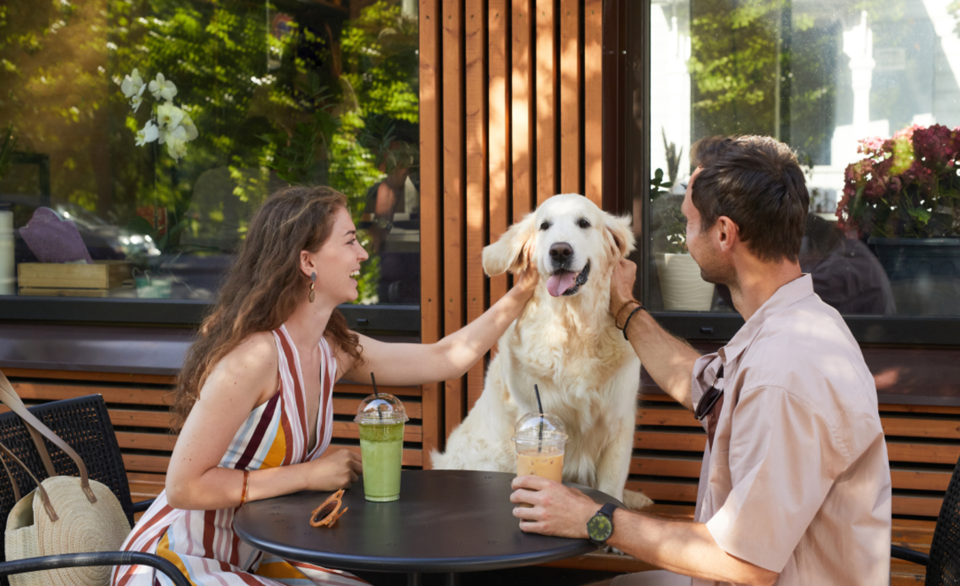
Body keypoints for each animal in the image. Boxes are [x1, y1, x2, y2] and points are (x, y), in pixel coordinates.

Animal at [434, 194, 652, 508]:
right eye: (544, 226)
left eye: (584, 223)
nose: (559, 250)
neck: (572, 327)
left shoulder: (619, 422)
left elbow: (611, 488)